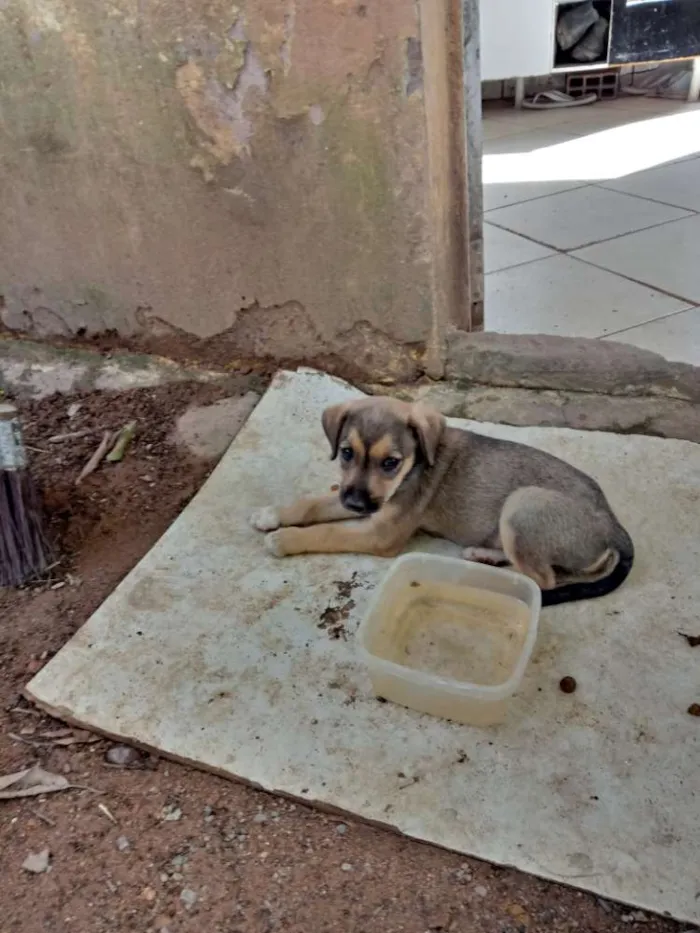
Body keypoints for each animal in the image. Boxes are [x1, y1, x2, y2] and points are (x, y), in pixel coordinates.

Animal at [250, 396, 636, 604]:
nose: (357, 506)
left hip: (522, 504)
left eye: (390, 463)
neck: (414, 466)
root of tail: (614, 526)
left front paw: (285, 539)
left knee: (541, 581)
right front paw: (272, 514)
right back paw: (484, 554)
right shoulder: (359, 500)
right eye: (346, 453)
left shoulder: (380, 533)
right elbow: (313, 504)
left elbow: (327, 532)